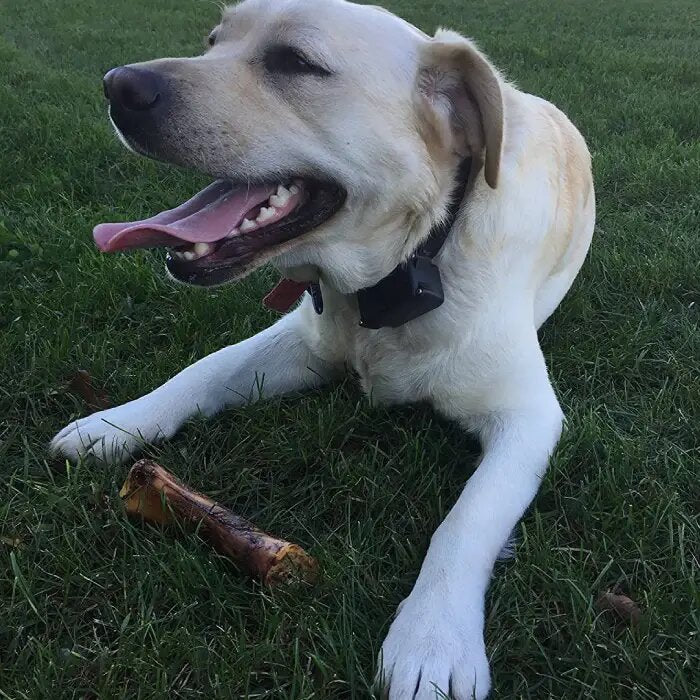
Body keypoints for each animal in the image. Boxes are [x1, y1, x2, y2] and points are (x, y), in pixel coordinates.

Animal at [50, 2, 596, 696]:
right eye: (212, 40)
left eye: (296, 62)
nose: (117, 85)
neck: (409, 265)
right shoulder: (303, 340)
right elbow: (202, 371)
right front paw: (116, 424)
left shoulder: (527, 416)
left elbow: (467, 520)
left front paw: (434, 638)